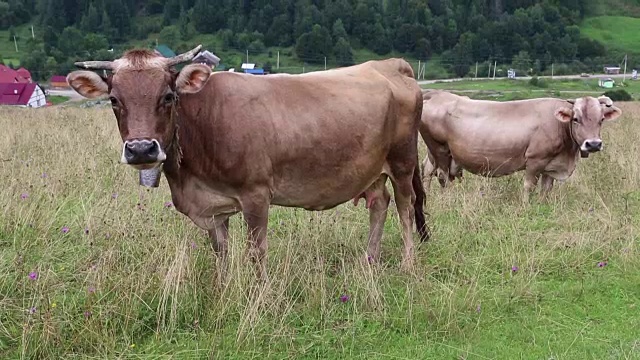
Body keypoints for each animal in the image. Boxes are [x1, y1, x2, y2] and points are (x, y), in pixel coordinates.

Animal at [67, 43, 430, 278]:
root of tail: (389, 64)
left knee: (405, 205)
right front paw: (223, 289)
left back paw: (408, 264)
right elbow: (221, 254)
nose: (142, 149)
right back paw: (370, 259)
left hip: (402, 161)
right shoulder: (213, 207)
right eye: (114, 100)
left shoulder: (256, 195)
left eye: (168, 96)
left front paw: (259, 295)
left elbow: (256, 253)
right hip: (372, 169)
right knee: (379, 202)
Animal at [418, 89, 624, 202]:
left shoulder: (550, 165)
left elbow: (546, 189)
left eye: (601, 119)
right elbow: (528, 186)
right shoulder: (534, 160)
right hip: (440, 149)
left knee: (427, 169)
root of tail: (437, 94)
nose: (593, 144)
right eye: (576, 119)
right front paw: (526, 207)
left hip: (434, 152)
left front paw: (542, 205)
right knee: (443, 176)